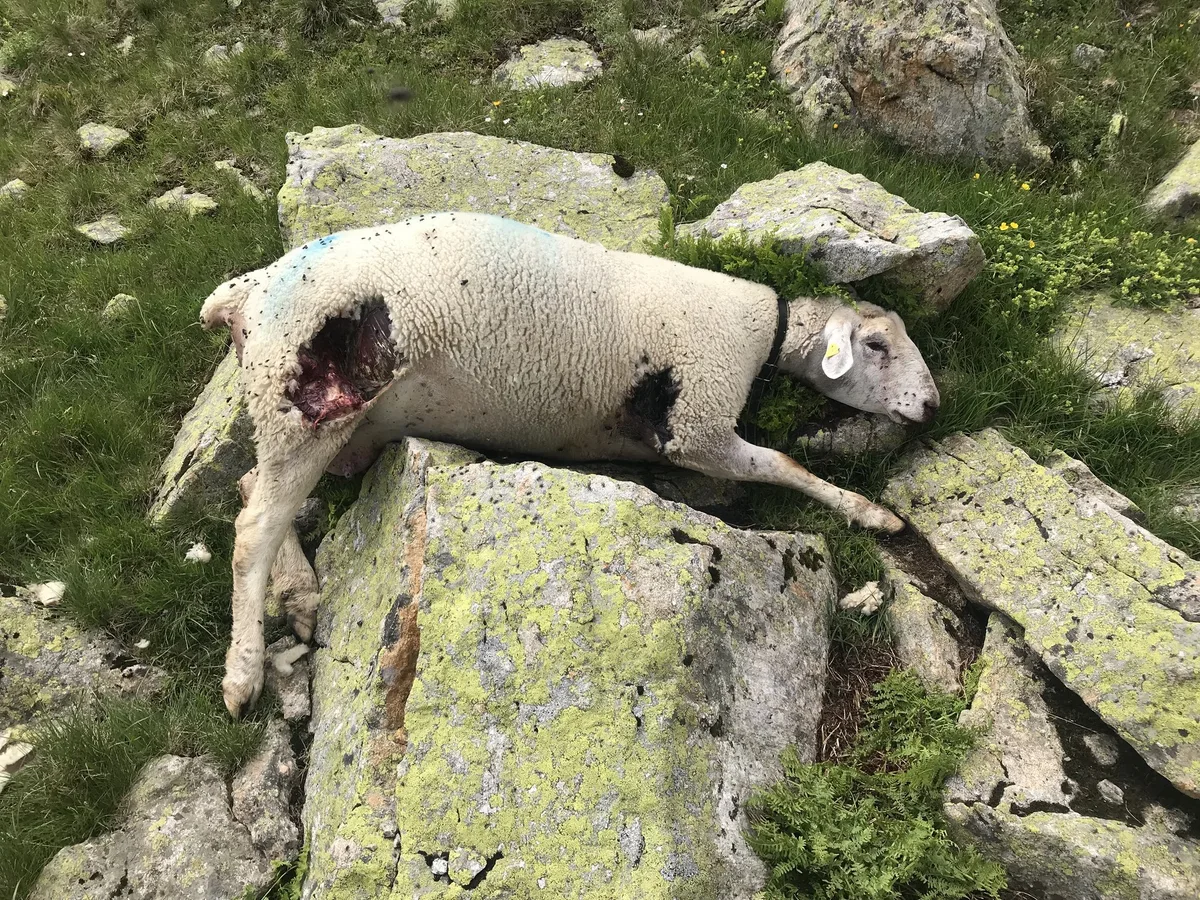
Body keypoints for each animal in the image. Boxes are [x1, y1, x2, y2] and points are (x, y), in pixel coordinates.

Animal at [201, 211, 940, 717]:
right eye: (876, 344)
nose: (933, 406)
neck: (763, 331)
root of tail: (243, 294)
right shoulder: (697, 424)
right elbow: (784, 465)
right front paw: (874, 514)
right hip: (303, 406)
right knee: (252, 532)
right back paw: (243, 674)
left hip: (342, 427)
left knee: (249, 487)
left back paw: (300, 597)